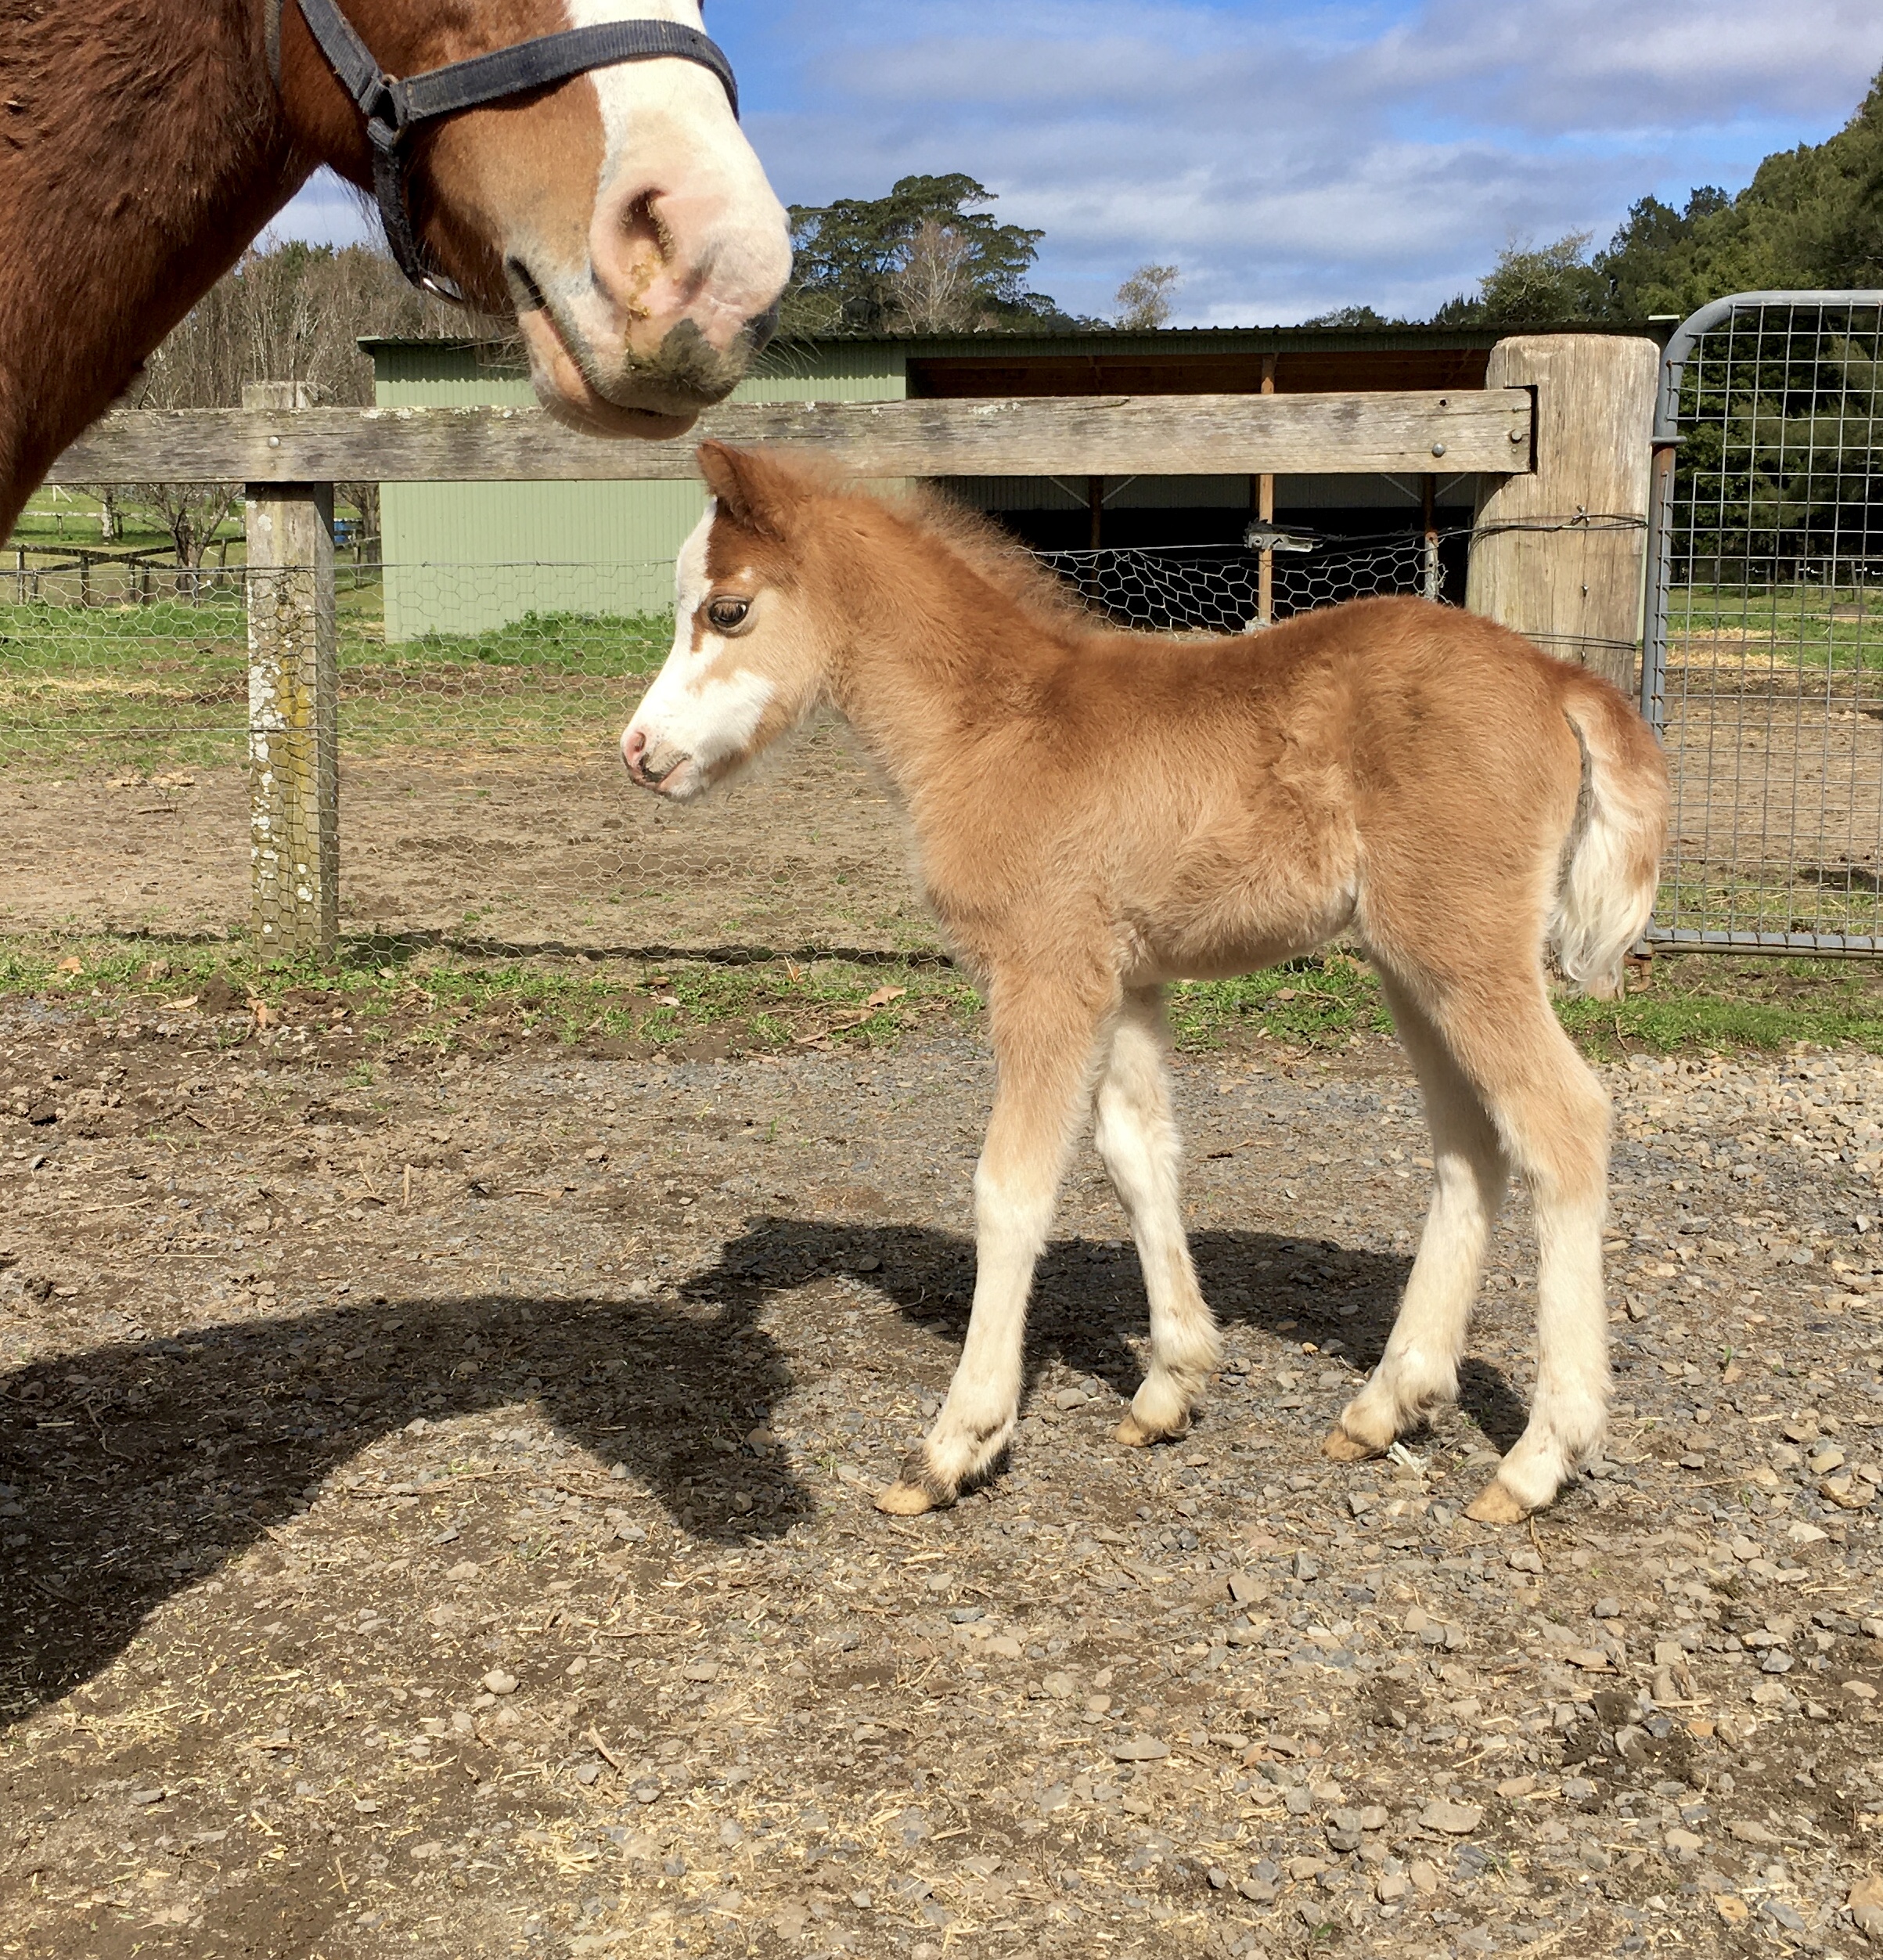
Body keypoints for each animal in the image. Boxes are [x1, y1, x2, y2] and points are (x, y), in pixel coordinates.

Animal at [621, 443, 1670, 1527]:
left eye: (728, 610)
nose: (640, 752)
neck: (995, 723)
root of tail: (1555, 675)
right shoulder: (1121, 978)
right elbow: (1137, 1152)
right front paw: (1172, 1383)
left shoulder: (1044, 970)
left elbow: (1011, 1187)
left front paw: (958, 1442)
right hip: (1411, 960)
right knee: (1470, 1143)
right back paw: (1388, 1404)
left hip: (1462, 946)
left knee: (1562, 1122)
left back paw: (1541, 1456)